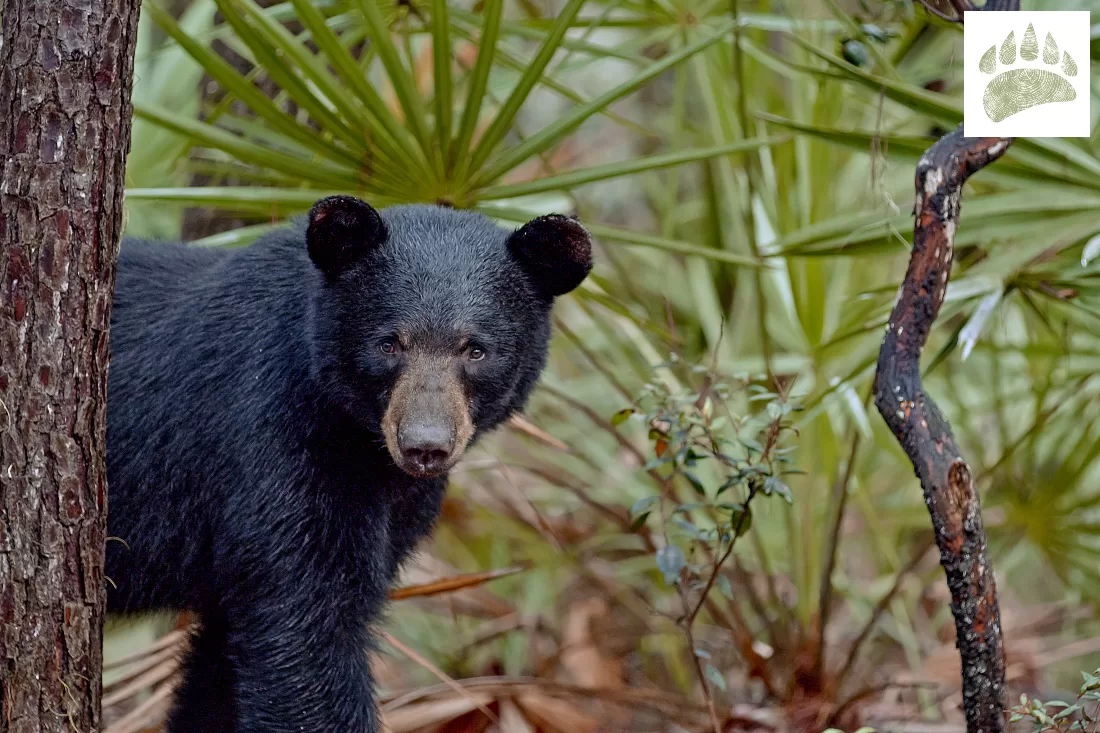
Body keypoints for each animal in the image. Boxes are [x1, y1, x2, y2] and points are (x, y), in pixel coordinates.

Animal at [108, 193, 594, 730]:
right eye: (388, 343)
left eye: (477, 350)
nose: (425, 445)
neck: (365, 447)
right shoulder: (273, 441)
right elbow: (306, 630)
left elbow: (221, 661)